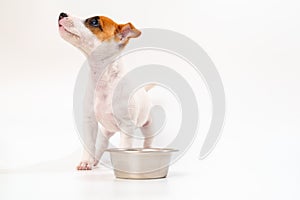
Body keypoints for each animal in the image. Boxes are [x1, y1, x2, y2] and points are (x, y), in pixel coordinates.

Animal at [58, 11, 155, 170]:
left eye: (94, 22)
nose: (62, 14)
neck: (103, 79)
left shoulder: (127, 126)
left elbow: (125, 147)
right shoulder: (90, 122)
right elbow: (89, 144)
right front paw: (86, 161)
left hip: (147, 125)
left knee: (148, 140)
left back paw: (148, 149)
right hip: (104, 132)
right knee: (101, 146)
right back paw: (94, 160)